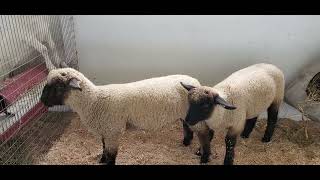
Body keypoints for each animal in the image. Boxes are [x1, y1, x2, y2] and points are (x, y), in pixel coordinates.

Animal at [39, 66, 202, 165]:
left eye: (59, 86)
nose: (42, 100)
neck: (94, 100)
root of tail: (196, 81)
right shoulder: (105, 131)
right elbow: (104, 149)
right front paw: (101, 160)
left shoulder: (112, 131)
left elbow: (111, 155)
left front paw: (107, 162)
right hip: (186, 115)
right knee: (187, 128)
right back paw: (186, 142)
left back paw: (200, 152)